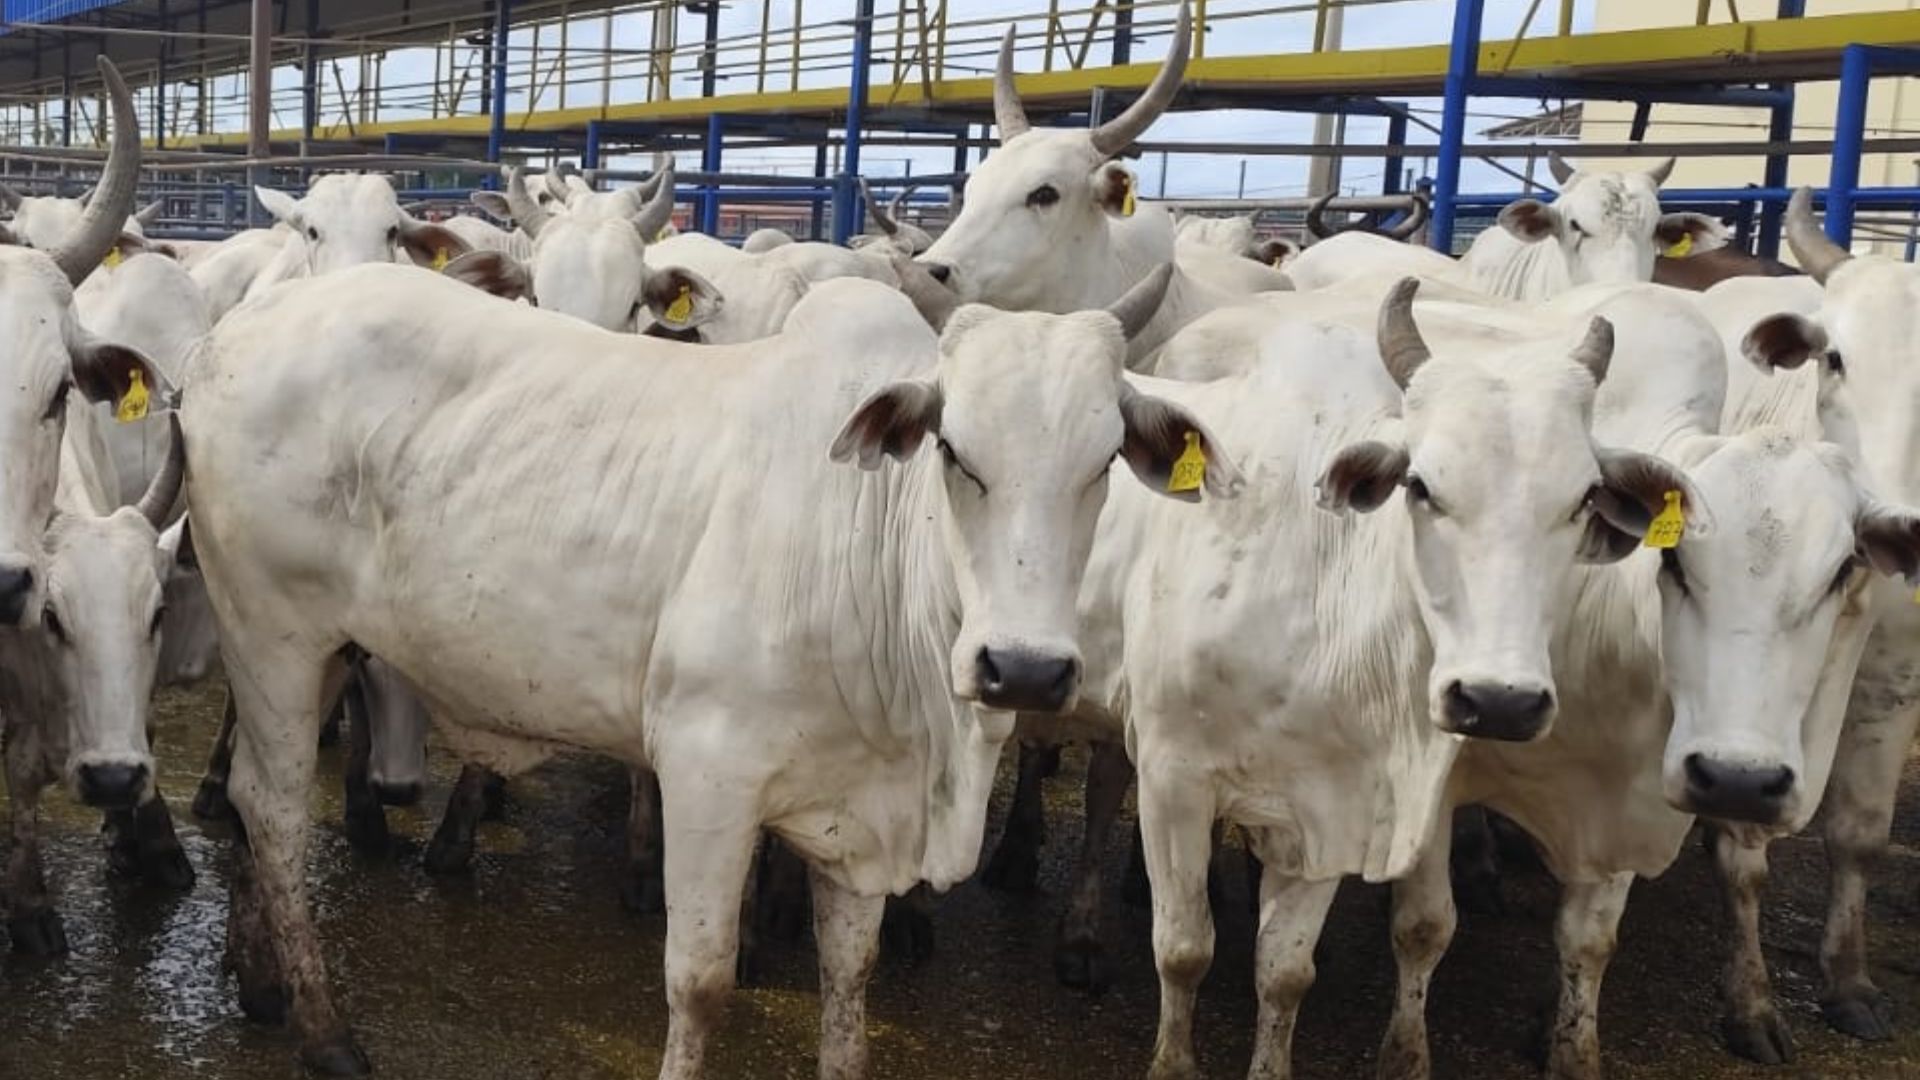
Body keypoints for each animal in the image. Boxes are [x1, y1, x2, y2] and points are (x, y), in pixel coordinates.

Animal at [183, 255, 1228, 1068]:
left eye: (1103, 462)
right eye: (953, 451)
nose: (1025, 669)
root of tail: (237, 328)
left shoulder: (859, 818)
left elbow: (849, 981)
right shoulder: (706, 774)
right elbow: (700, 984)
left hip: (318, 646)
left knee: (247, 796)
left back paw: (261, 979)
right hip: (269, 630)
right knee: (272, 808)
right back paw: (324, 1031)